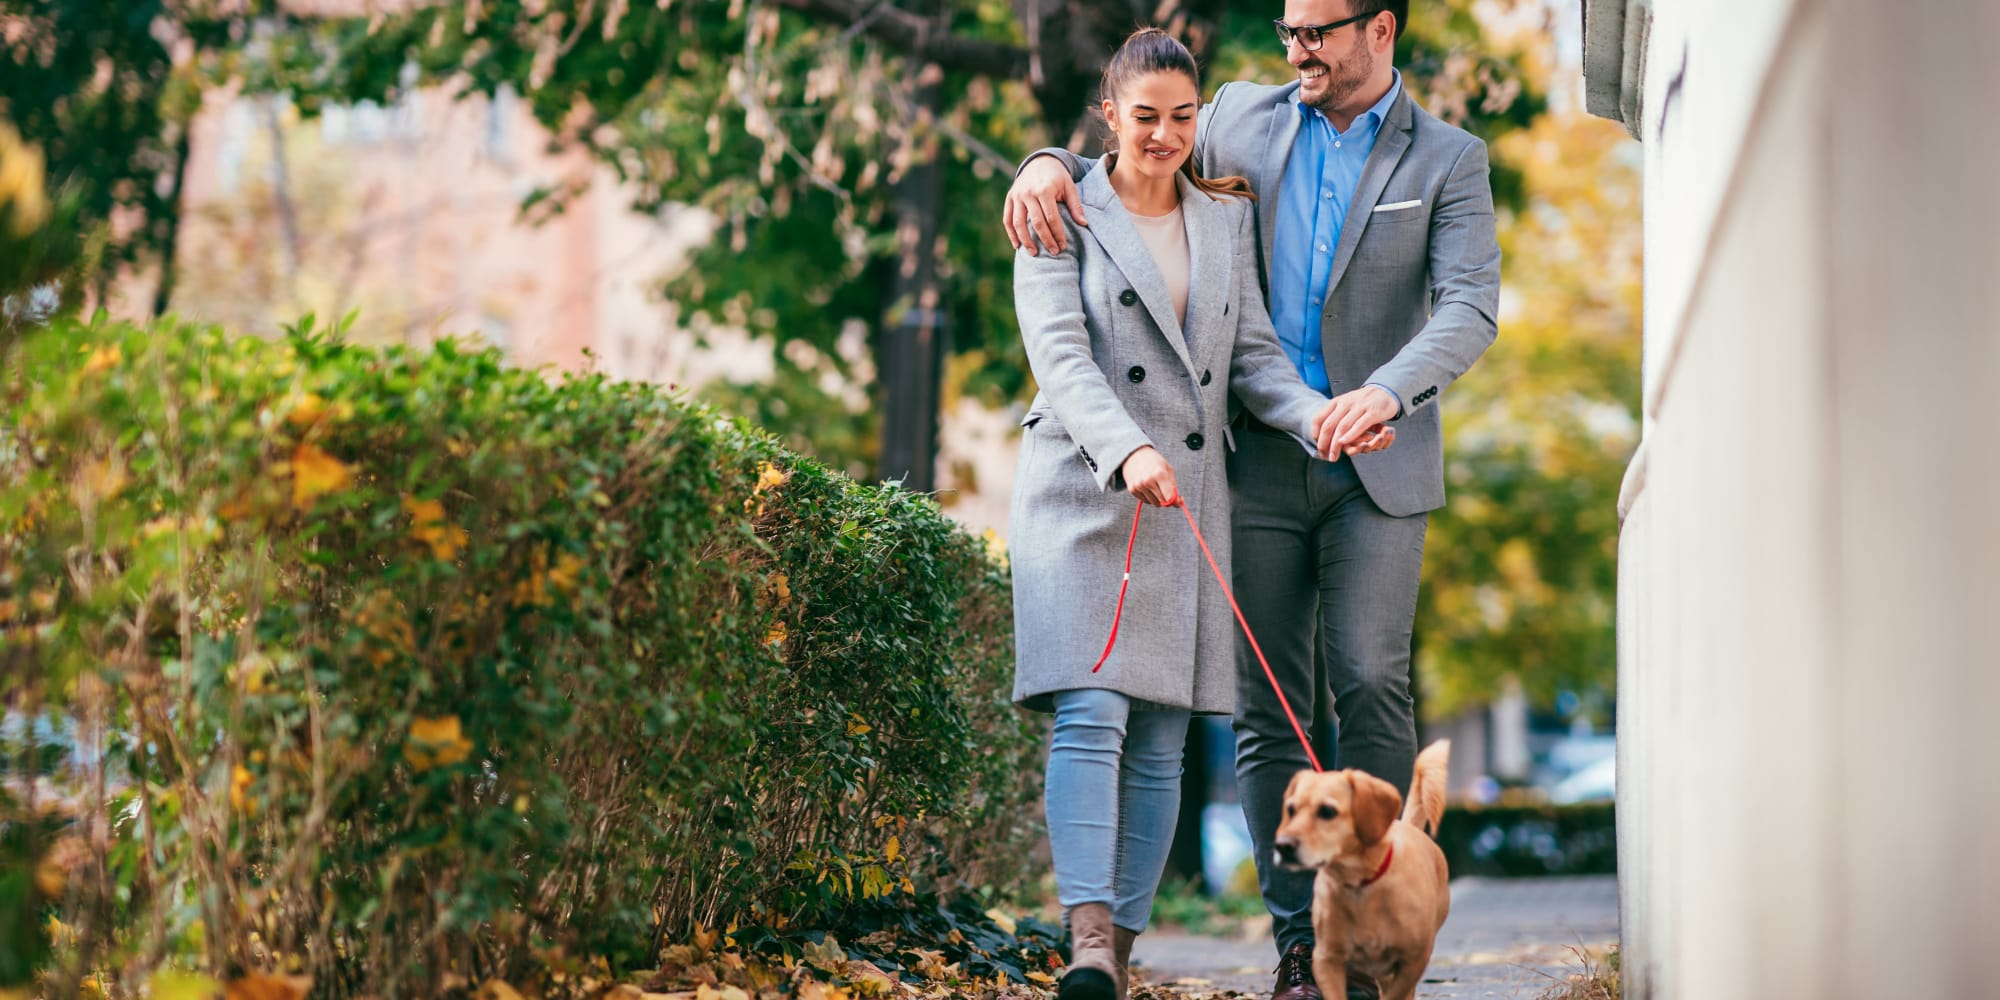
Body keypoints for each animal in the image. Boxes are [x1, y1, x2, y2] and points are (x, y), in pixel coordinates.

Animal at [1280, 744, 1456, 1000]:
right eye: (1291, 810)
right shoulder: (1326, 960)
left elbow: (1396, 994)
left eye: (1327, 811)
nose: (1282, 846)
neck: (1359, 884)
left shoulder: (1413, 961)